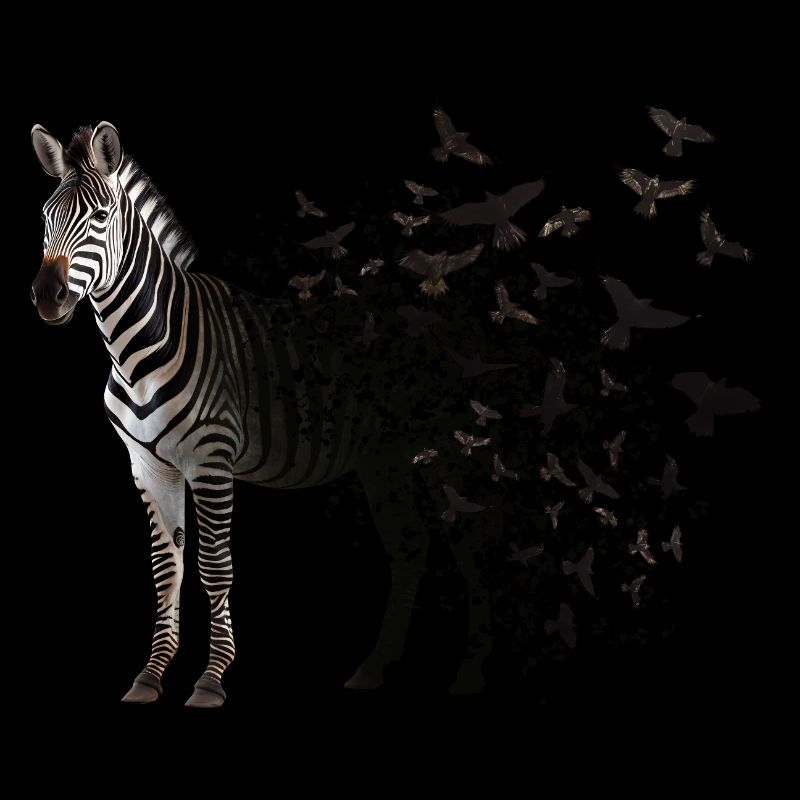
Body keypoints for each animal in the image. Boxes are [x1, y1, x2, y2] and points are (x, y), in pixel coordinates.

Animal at [30, 122, 493, 706]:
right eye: (45, 218)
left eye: (100, 217)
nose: (47, 297)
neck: (139, 349)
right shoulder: (148, 466)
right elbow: (166, 569)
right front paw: (151, 675)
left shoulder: (211, 461)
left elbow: (214, 567)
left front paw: (211, 679)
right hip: (385, 458)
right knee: (410, 544)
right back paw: (373, 668)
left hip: (448, 449)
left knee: (471, 543)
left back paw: (471, 672)